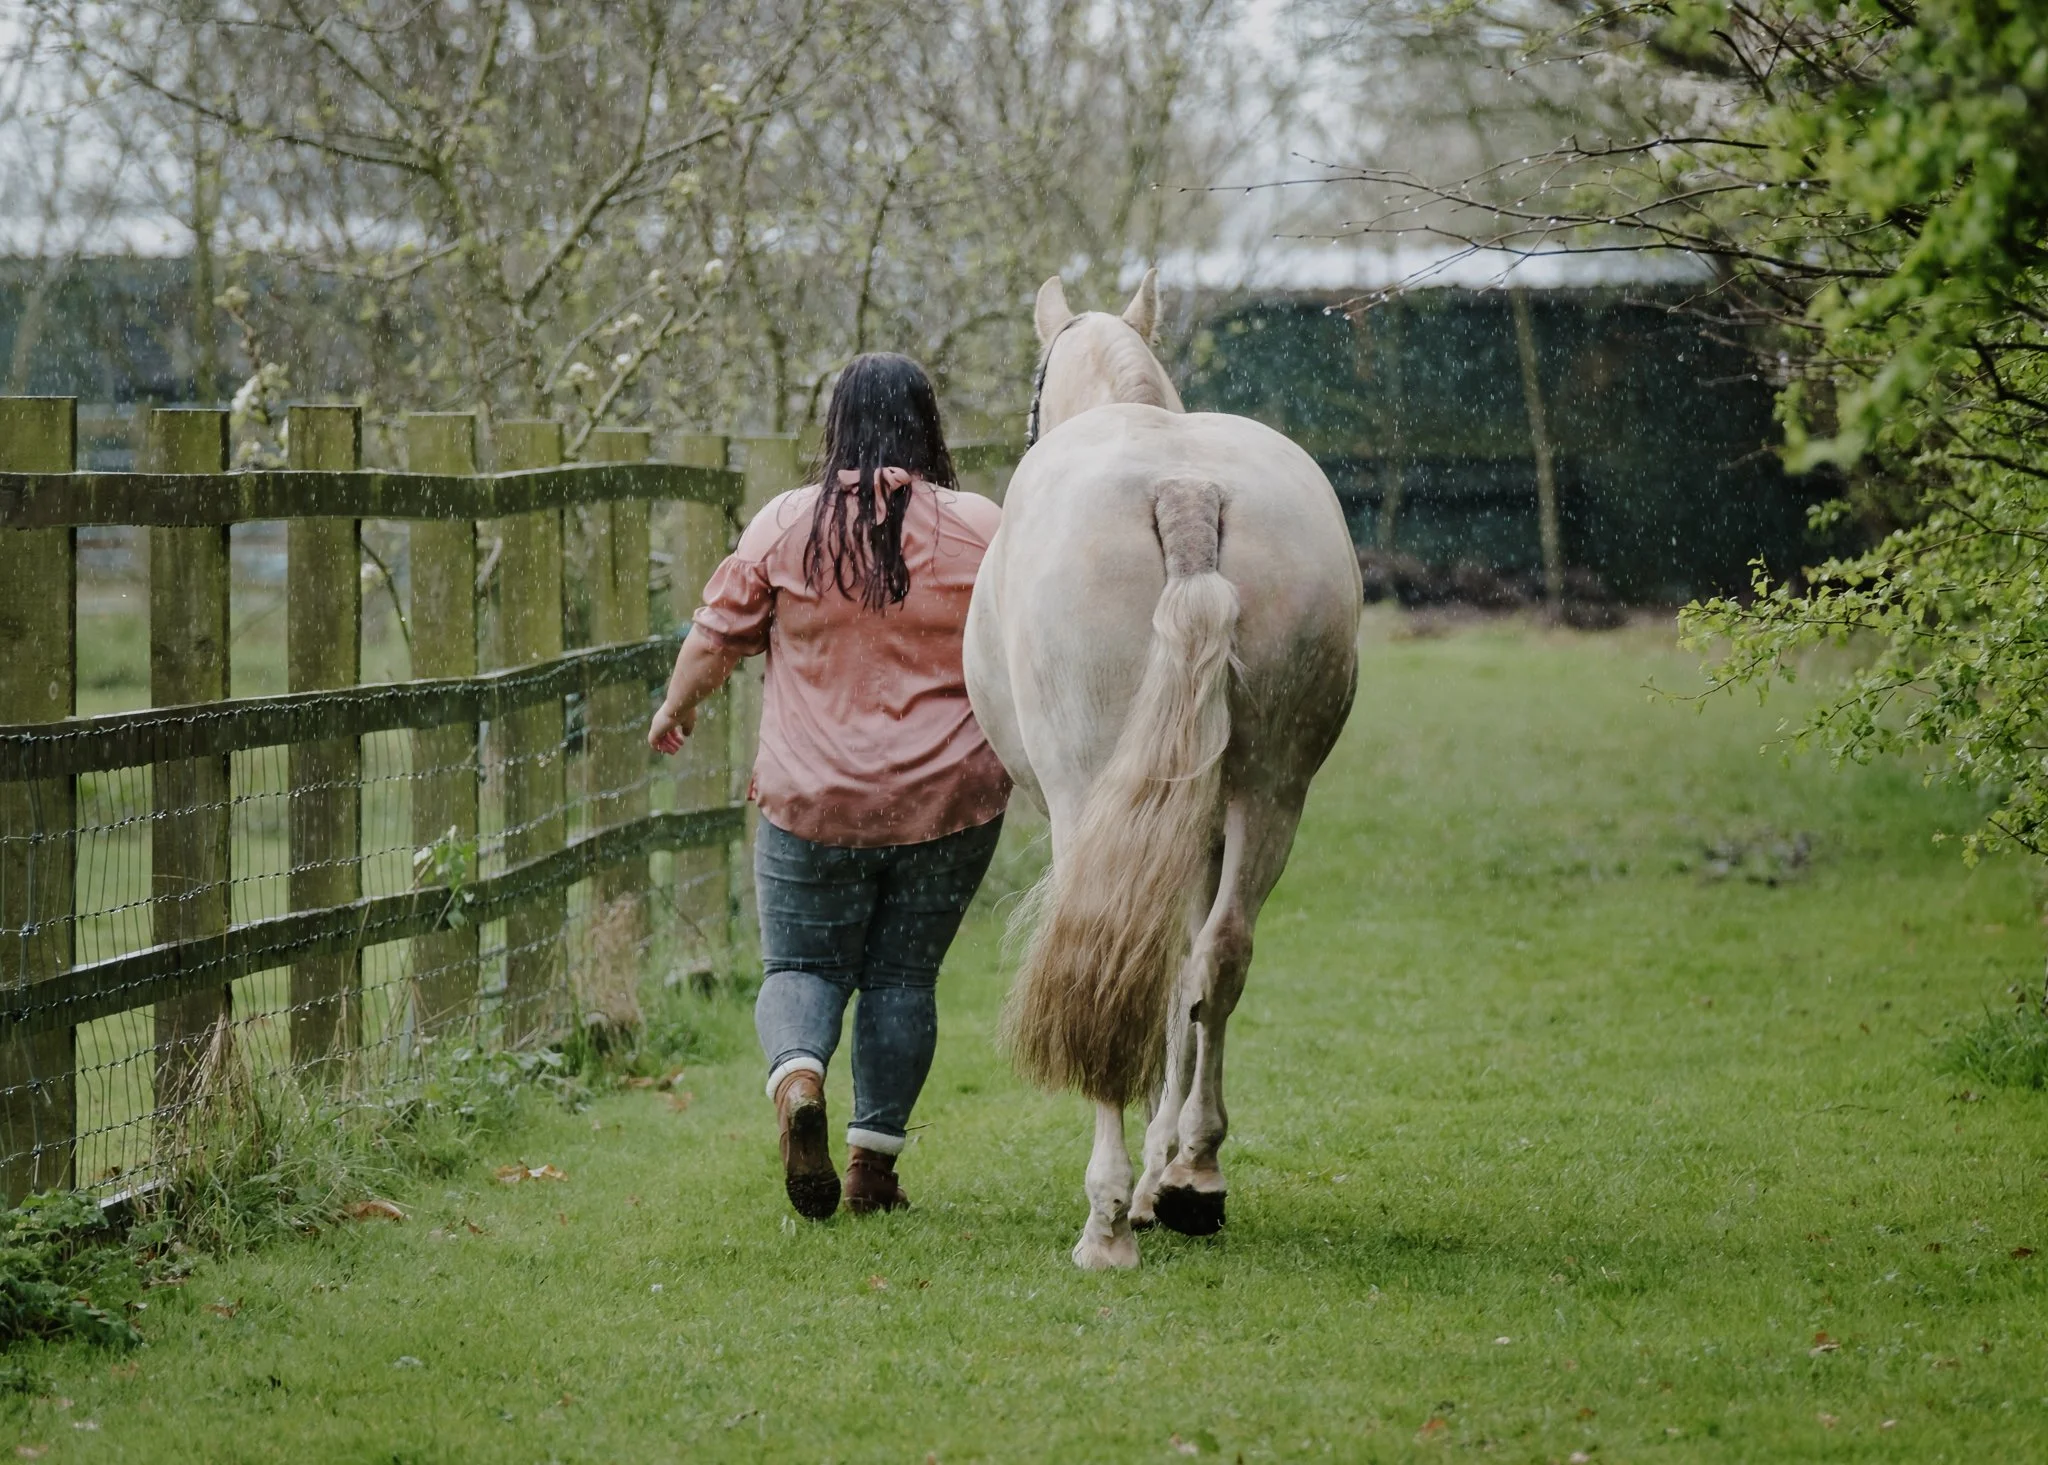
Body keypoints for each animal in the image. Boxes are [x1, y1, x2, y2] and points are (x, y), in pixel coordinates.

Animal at [964, 271, 1362, 1269]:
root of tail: (1185, 489)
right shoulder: (1207, 816)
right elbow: (1188, 969)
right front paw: (1170, 1164)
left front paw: (1137, 1181)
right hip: (1272, 795)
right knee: (1218, 957)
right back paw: (1195, 1176)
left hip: (1090, 798)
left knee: (1113, 958)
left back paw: (1108, 1217)